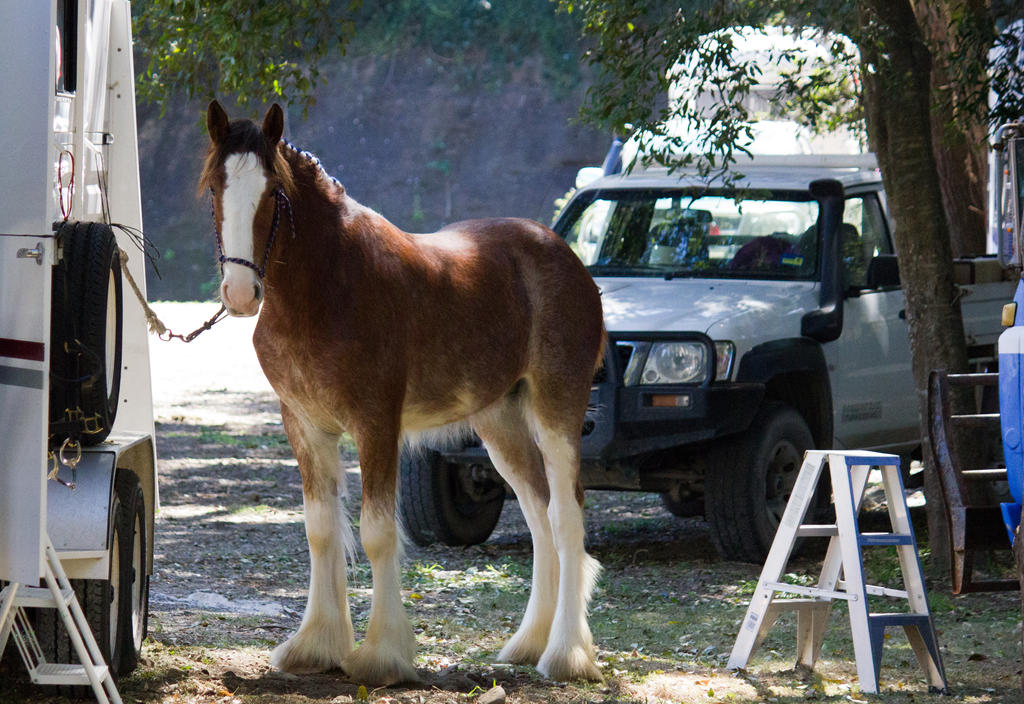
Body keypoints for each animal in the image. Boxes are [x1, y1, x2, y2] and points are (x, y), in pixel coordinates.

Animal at [199, 101, 606, 683]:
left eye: (273, 191)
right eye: (214, 187)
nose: (239, 293)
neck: (326, 287)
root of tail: (566, 258)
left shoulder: (376, 424)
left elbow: (376, 532)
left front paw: (380, 654)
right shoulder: (305, 426)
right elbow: (320, 529)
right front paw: (314, 646)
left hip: (556, 411)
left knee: (566, 517)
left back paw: (567, 654)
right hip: (500, 425)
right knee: (539, 516)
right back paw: (528, 643)